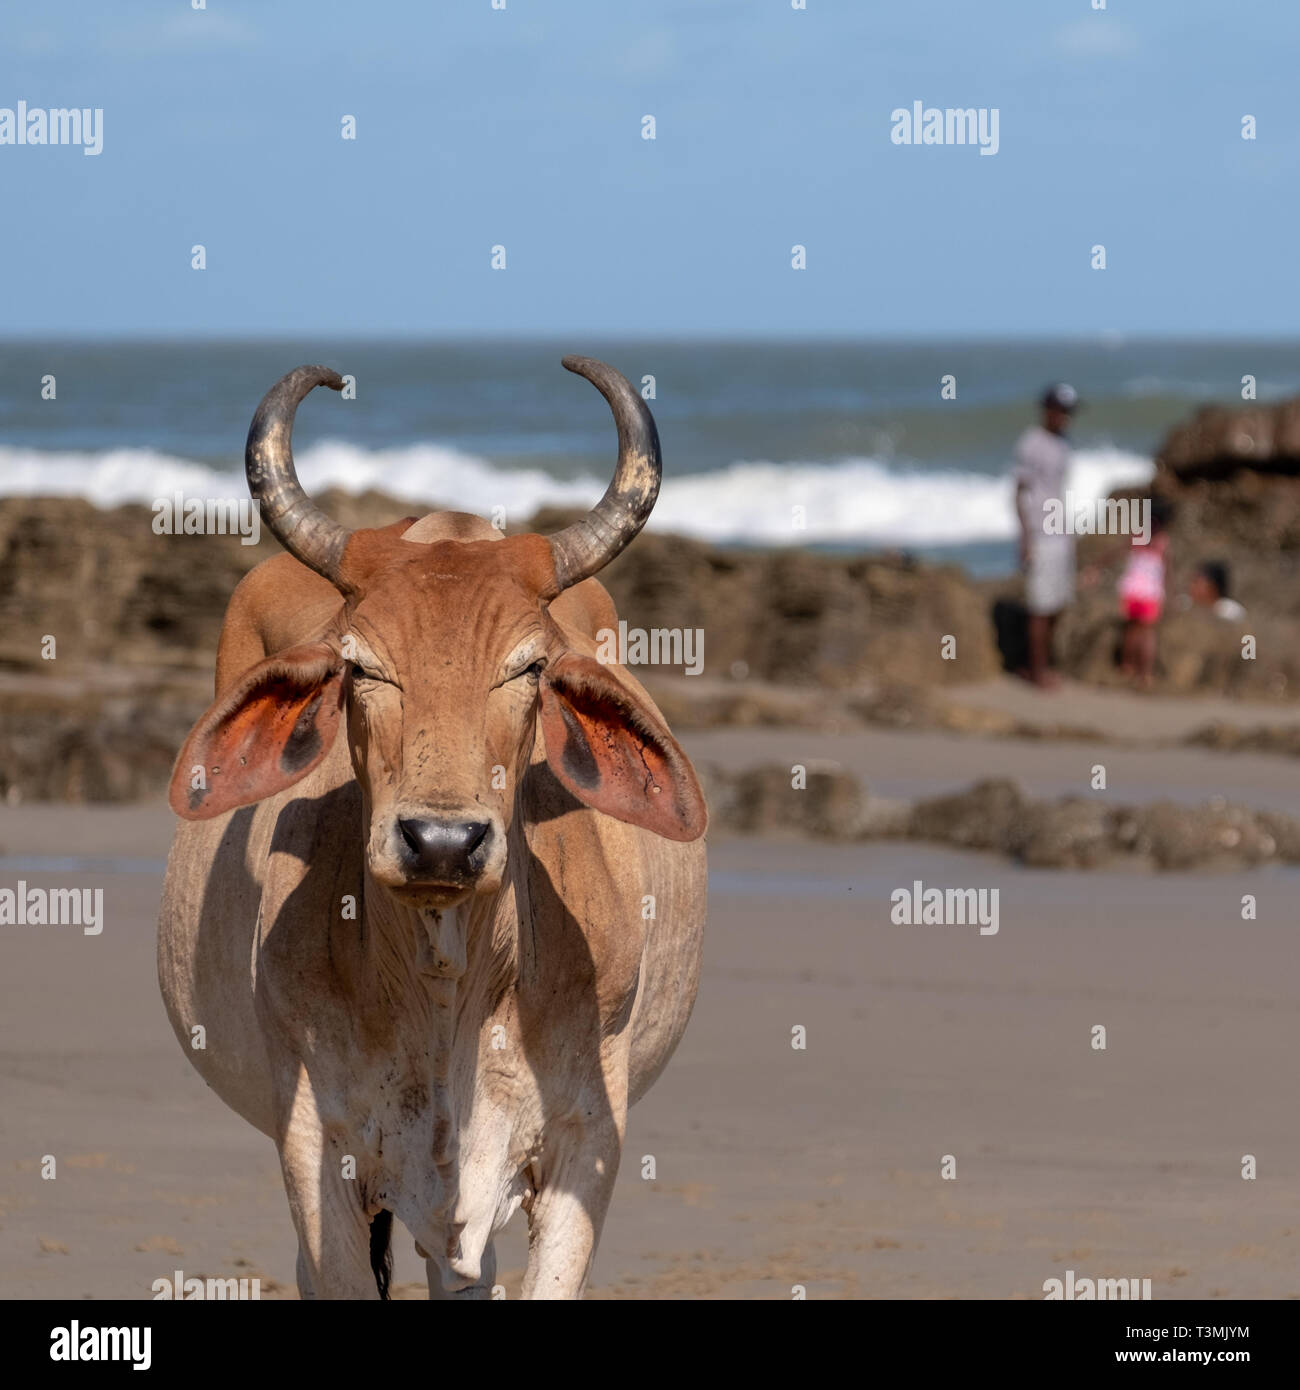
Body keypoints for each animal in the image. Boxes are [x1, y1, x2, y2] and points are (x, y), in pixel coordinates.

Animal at [162, 355, 711, 1289]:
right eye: (359, 666)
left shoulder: (584, 1143)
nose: (443, 844)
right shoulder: (315, 1146)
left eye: (529, 667)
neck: (446, 980)